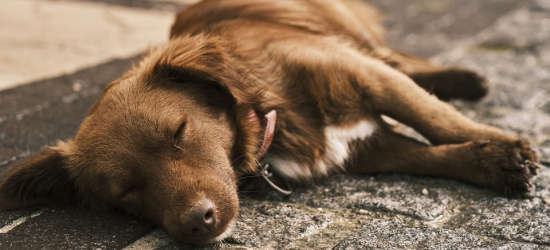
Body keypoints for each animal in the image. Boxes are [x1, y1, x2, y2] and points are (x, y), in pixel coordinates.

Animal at [0, 0, 540, 246]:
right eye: (125, 192)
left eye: (179, 132)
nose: (196, 224)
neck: (268, 112)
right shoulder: (367, 149)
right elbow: (429, 155)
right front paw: (493, 163)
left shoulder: (363, 73)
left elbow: (435, 117)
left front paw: (501, 145)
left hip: (350, 29)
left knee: (399, 59)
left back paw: (464, 79)